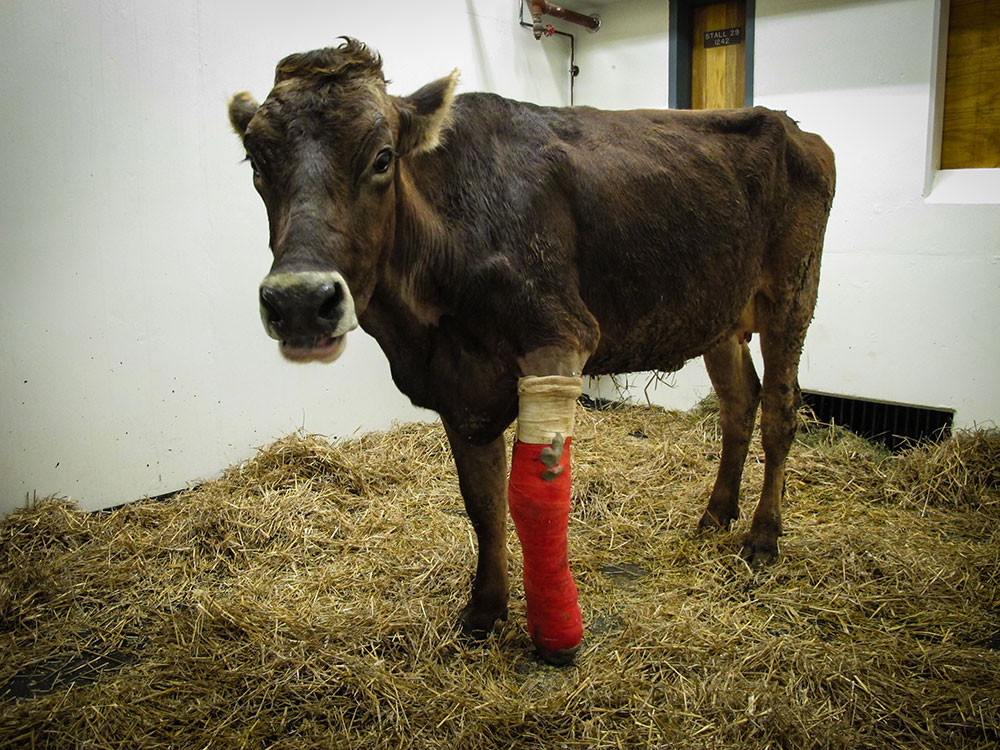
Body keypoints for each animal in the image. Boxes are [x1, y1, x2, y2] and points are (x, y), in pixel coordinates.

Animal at [228, 38, 835, 664]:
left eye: (383, 157)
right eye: (256, 162)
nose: (301, 301)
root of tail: (795, 128)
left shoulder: (558, 336)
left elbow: (535, 494)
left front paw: (555, 631)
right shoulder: (459, 388)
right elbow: (482, 498)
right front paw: (485, 609)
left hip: (792, 291)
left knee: (781, 411)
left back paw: (763, 535)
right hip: (720, 314)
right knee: (739, 405)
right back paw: (716, 514)